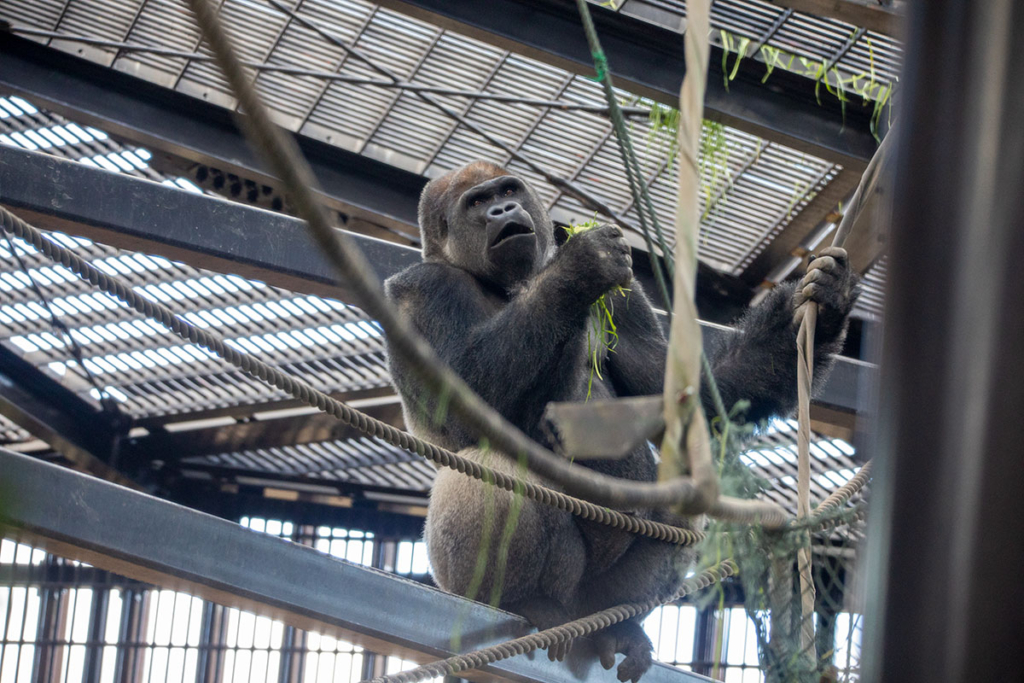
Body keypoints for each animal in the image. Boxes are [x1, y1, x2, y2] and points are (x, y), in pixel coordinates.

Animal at [385, 158, 856, 679]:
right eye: (477, 202)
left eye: (508, 191)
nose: (503, 211)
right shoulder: (420, 289)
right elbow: (466, 401)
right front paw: (578, 267)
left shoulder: (626, 298)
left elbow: (692, 396)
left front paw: (824, 304)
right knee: (492, 471)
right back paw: (525, 601)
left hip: (598, 596)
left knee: (676, 498)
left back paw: (620, 623)